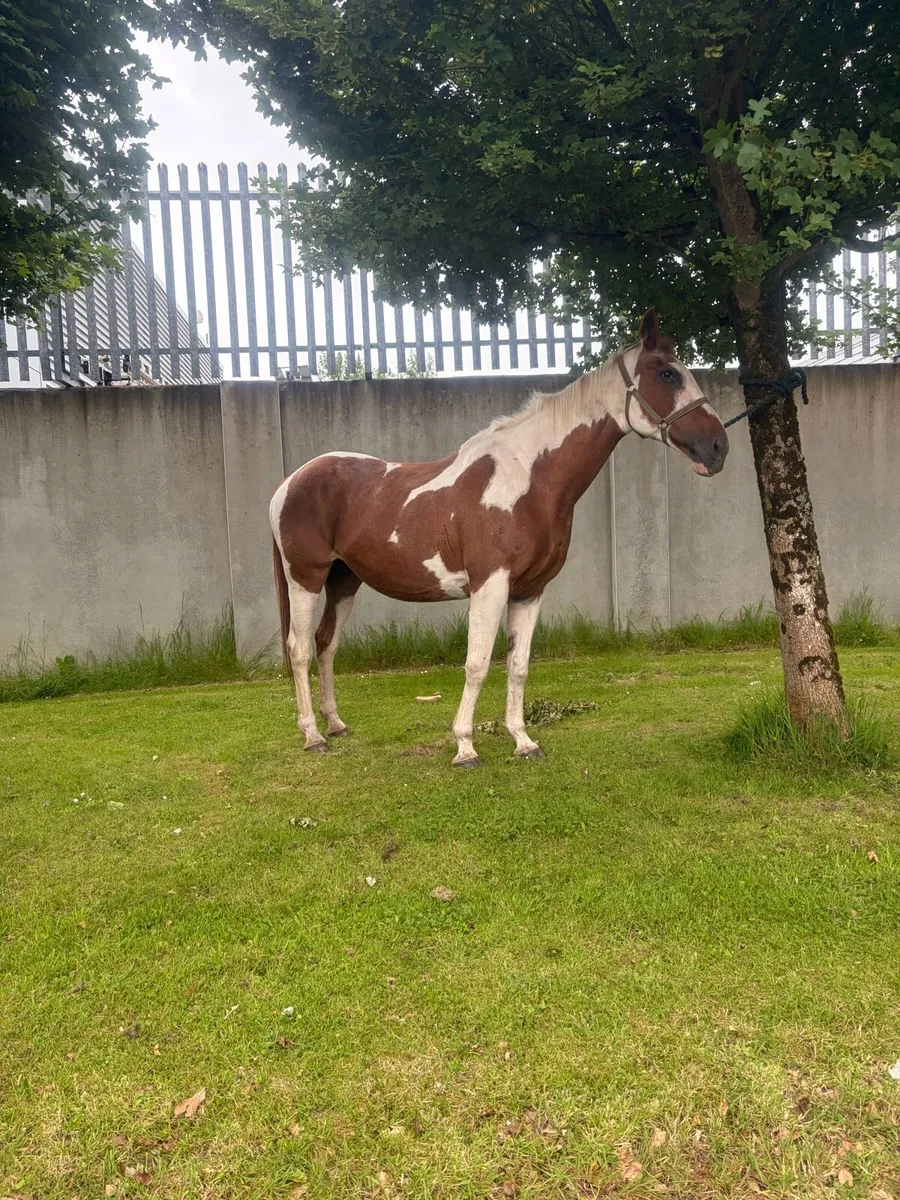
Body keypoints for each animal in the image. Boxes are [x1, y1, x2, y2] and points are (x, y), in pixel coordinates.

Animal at [271, 308, 729, 766]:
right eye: (667, 373)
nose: (718, 447)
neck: (528, 479)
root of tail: (289, 483)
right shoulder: (489, 585)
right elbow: (477, 664)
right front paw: (465, 747)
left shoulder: (530, 590)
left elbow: (518, 666)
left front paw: (523, 741)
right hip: (306, 578)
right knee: (299, 648)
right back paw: (313, 735)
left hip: (344, 581)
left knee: (326, 644)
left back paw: (336, 724)